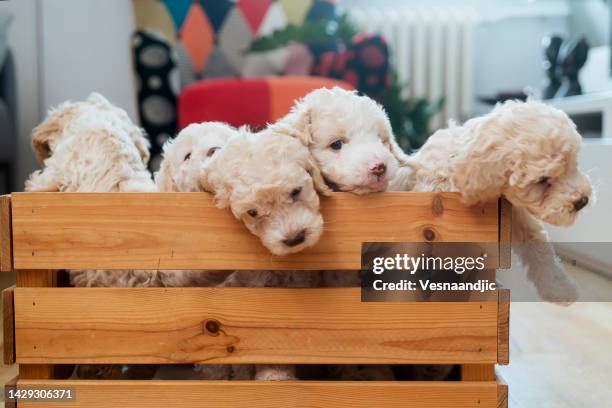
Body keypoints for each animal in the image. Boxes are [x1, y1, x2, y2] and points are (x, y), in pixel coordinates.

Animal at [392, 99, 592, 302]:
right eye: (542, 180)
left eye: (574, 164)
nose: (582, 201)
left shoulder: (512, 214)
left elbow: (538, 244)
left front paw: (560, 288)